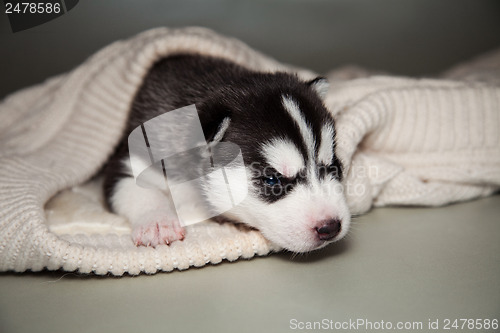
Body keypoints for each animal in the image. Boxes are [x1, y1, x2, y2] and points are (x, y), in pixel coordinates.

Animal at [103, 54, 350, 252]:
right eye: (272, 180)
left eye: (333, 166)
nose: (330, 226)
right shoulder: (131, 154)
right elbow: (137, 188)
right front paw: (158, 222)